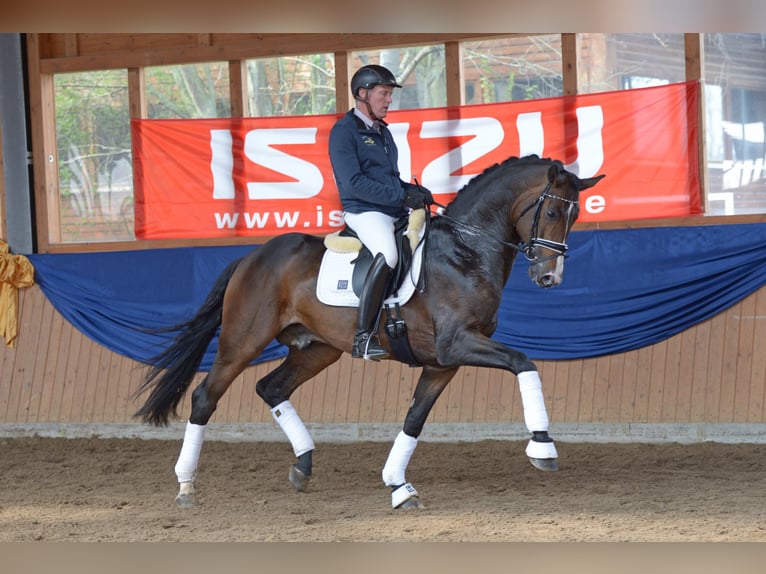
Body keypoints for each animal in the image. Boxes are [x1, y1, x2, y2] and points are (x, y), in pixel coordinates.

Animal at [136, 154, 608, 512]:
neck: (465, 252)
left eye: (575, 215)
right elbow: (523, 362)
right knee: (205, 396)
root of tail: (252, 257)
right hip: (243, 341)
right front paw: (542, 447)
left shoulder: (442, 362)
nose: (549, 277)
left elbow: (415, 419)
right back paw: (185, 485)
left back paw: (303, 466)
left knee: (271, 388)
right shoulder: (456, 344)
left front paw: (399, 486)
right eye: (551, 212)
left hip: (317, 349)